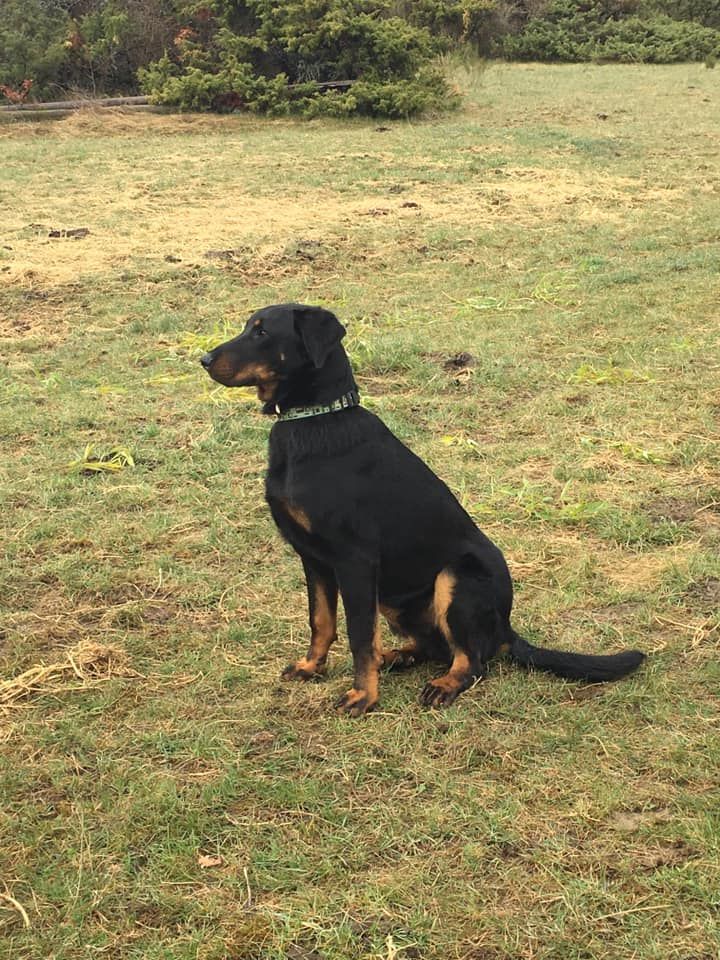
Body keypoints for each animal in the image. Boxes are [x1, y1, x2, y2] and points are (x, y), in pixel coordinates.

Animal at [200, 304, 644, 716]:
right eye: (248, 326)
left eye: (262, 333)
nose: (204, 359)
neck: (315, 420)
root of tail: (506, 630)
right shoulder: (313, 558)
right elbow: (321, 621)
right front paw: (312, 668)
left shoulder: (354, 561)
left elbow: (359, 636)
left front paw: (363, 696)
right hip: (395, 599)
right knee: (435, 647)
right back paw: (397, 657)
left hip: (454, 577)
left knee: (471, 660)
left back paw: (443, 684)